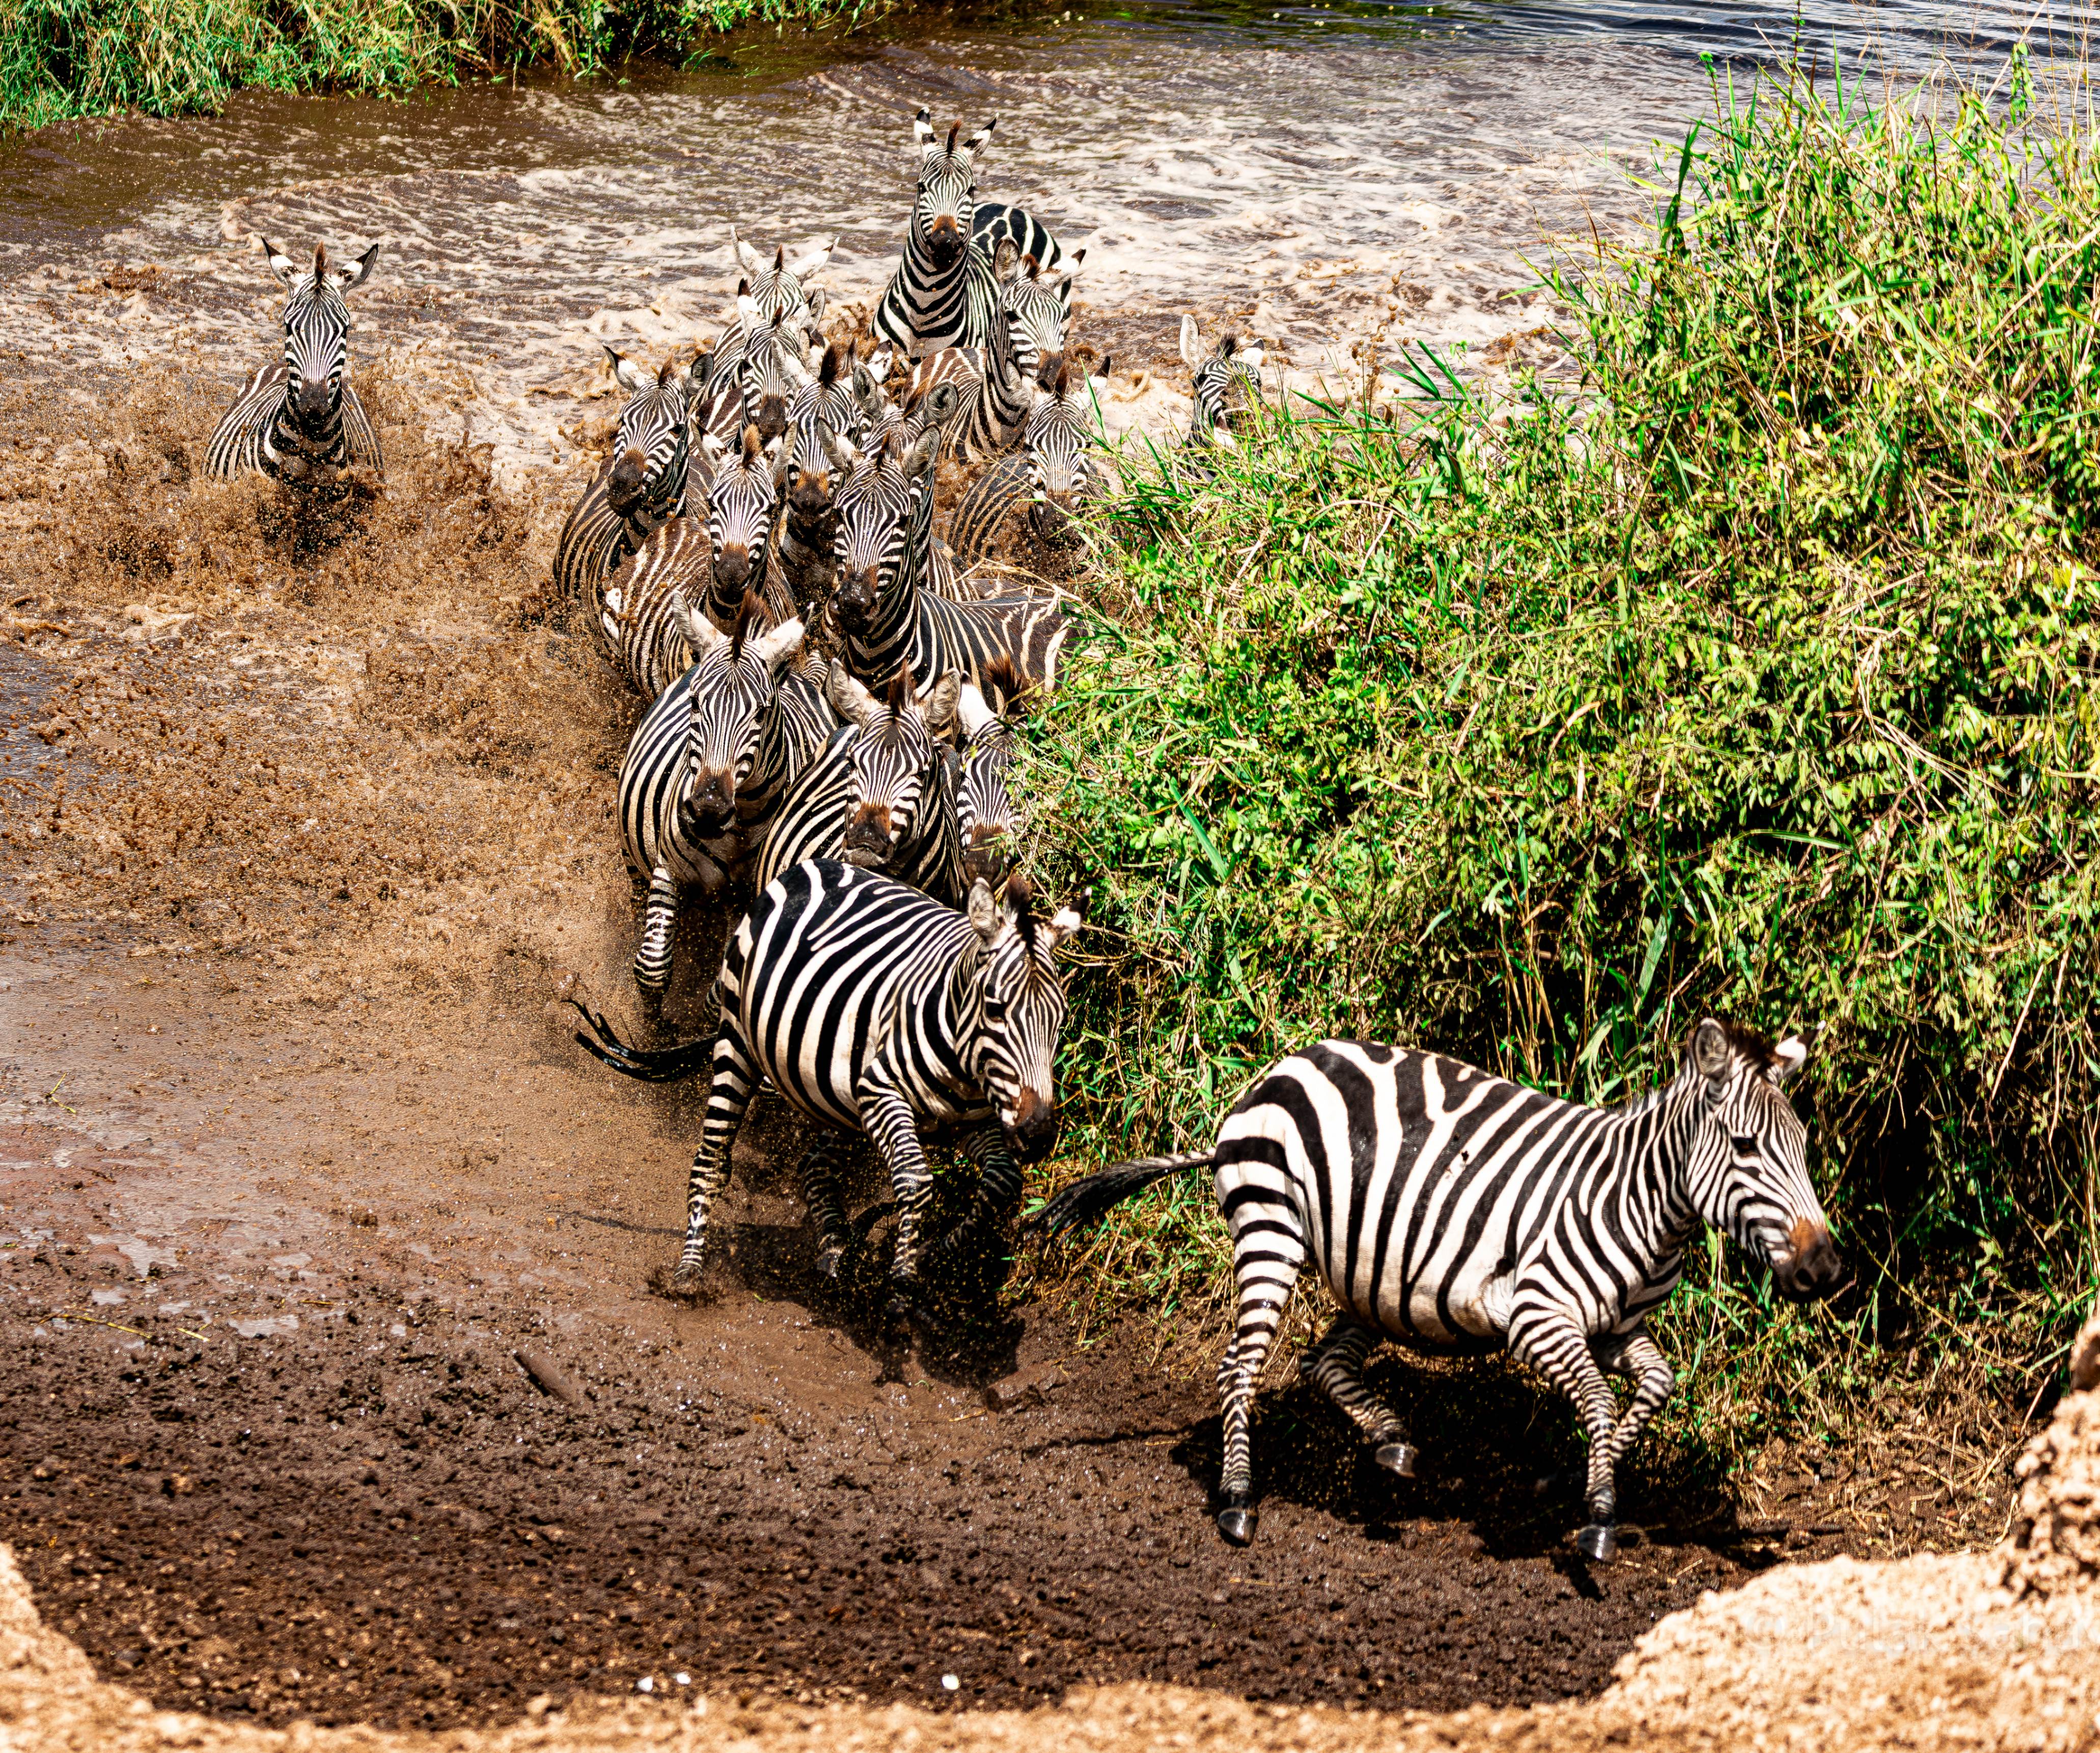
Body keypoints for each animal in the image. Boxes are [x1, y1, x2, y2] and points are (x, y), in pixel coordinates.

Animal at [574, 863, 1085, 1311]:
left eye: (1061, 1017)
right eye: (996, 1009)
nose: (1038, 1134)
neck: (964, 1067)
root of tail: (816, 867)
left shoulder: (969, 1121)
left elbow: (1003, 1181)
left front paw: (932, 1257)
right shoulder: (881, 1092)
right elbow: (916, 1181)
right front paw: (901, 1285)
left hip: (838, 1097)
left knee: (814, 1165)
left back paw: (838, 1257)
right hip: (738, 1039)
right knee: (712, 1161)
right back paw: (689, 1273)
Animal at [616, 595, 833, 1005]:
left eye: (762, 712)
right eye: (696, 703)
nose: (708, 811)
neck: (738, 828)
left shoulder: (748, 903)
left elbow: (724, 989)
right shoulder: (668, 867)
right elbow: (652, 970)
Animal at [1023, 1021, 1846, 1560]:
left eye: (1804, 1148)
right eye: (1745, 1147)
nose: (1826, 1271)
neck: (1639, 1202)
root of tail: (1272, 1073)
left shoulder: (1617, 1329)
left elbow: (1655, 1384)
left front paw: (1584, 1474)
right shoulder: (1536, 1316)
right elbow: (1600, 1397)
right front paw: (1598, 1510)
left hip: (1374, 1274)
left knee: (1322, 1362)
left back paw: (1390, 1442)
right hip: (1272, 1229)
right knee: (1240, 1366)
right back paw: (1235, 1501)